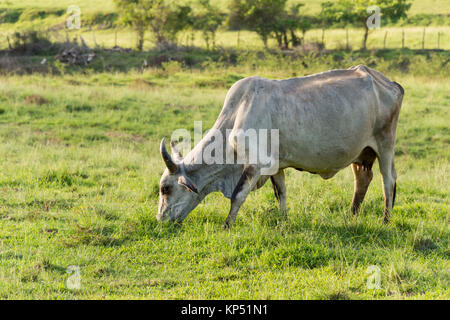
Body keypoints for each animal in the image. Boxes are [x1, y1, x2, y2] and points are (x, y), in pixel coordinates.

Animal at [156, 65, 402, 228]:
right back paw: (351, 215)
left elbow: (238, 194)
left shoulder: (256, 164)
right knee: (362, 179)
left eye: (165, 188)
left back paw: (386, 219)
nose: (160, 219)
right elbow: (280, 192)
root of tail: (389, 83)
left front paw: (227, 225)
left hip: (385, 144)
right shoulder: (276, 165)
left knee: (388, 180)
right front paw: (283, 220)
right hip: (360, 152)